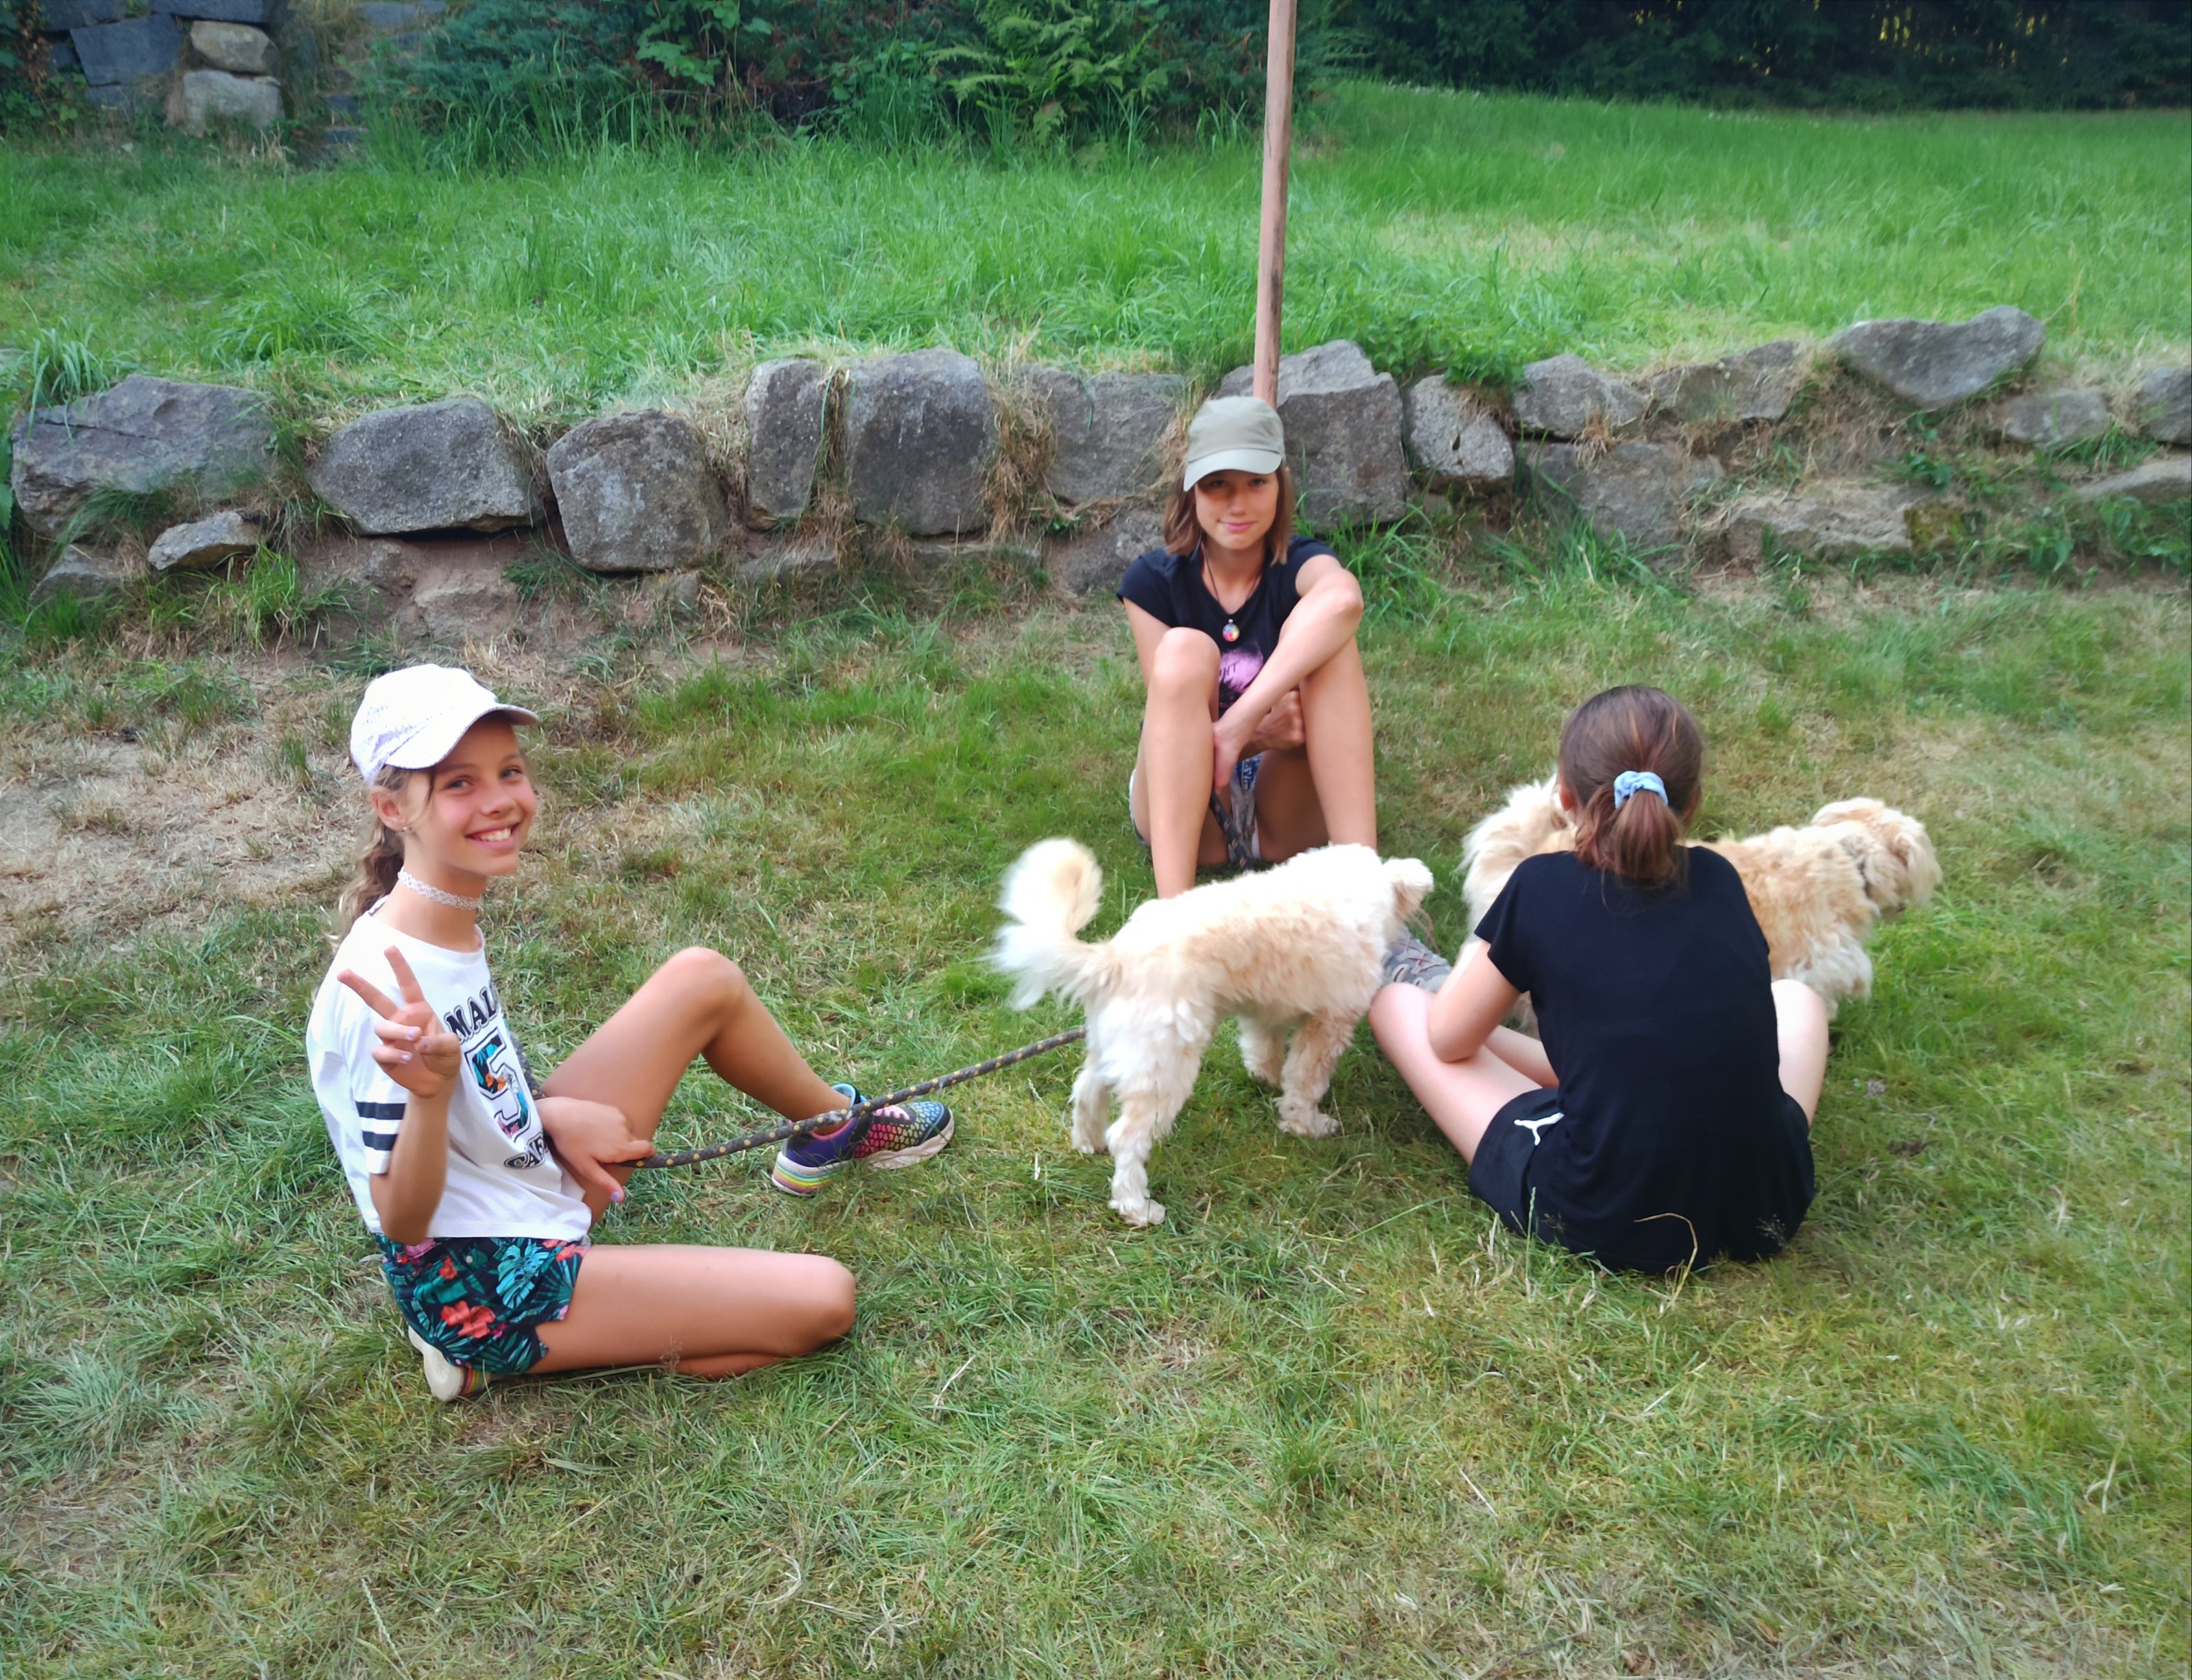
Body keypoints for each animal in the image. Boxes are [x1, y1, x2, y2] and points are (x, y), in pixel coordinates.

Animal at [994, 839, 1435, 1227]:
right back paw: (1137, 1208)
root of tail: (1114, 958)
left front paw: (1267, 1080)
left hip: (1118, 1049)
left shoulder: (1266, 1012)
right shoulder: (1329, 1025)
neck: (1342, 888)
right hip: (1166, 1067)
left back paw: (1089, 1143)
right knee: (1128, 1138)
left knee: (1086, 1090)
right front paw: (1306, 1125)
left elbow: (1265, 1050)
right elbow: (1306, 1082)